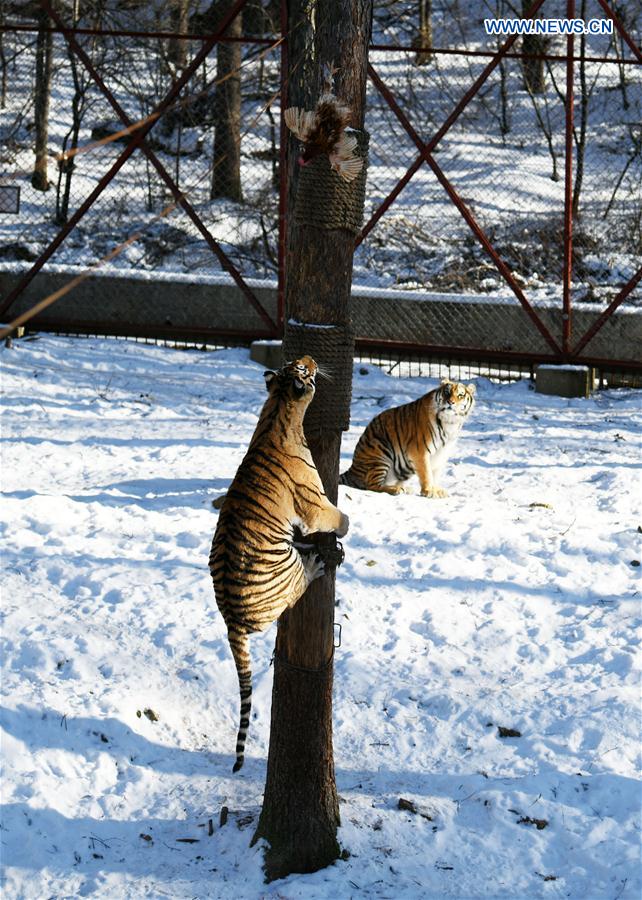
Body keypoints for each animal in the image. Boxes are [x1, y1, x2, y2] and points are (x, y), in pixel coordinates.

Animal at [209, 356, 350, 768]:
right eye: (303, 370)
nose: (311, 360)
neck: (277, 409)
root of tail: (229, 619)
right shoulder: (315, 504)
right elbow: (338, 517)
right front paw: (347, 526)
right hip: (286, 568)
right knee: (300, 583)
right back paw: (321, 562)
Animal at [338, 376, 472, 496]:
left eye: (460, 395)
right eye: (446, 392)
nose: (450, 402)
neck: (450, 422)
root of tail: (352, 470)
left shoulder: (442, 454)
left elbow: (435, 474)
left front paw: (436, 490)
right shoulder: (420, 451)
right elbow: (426, 473)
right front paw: (428, 491)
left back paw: (405, 488)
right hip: (381, 452)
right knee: (371, 485)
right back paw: (396, 490)